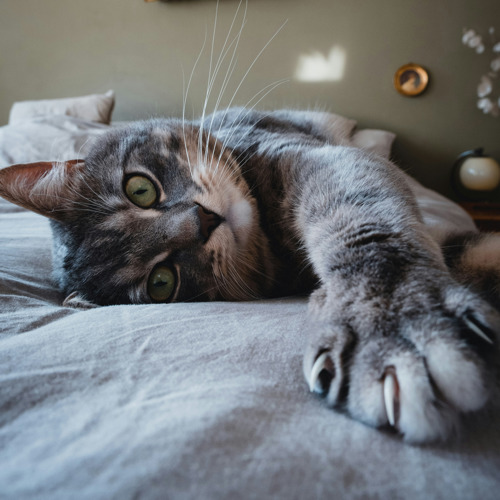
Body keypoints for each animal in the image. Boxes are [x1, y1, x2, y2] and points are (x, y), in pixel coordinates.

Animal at [0, 107, 498, 444]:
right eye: (162, 282)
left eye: (139, 189)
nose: (202, 222)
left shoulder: (317, 157)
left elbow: (365, 224)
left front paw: (394, 319)